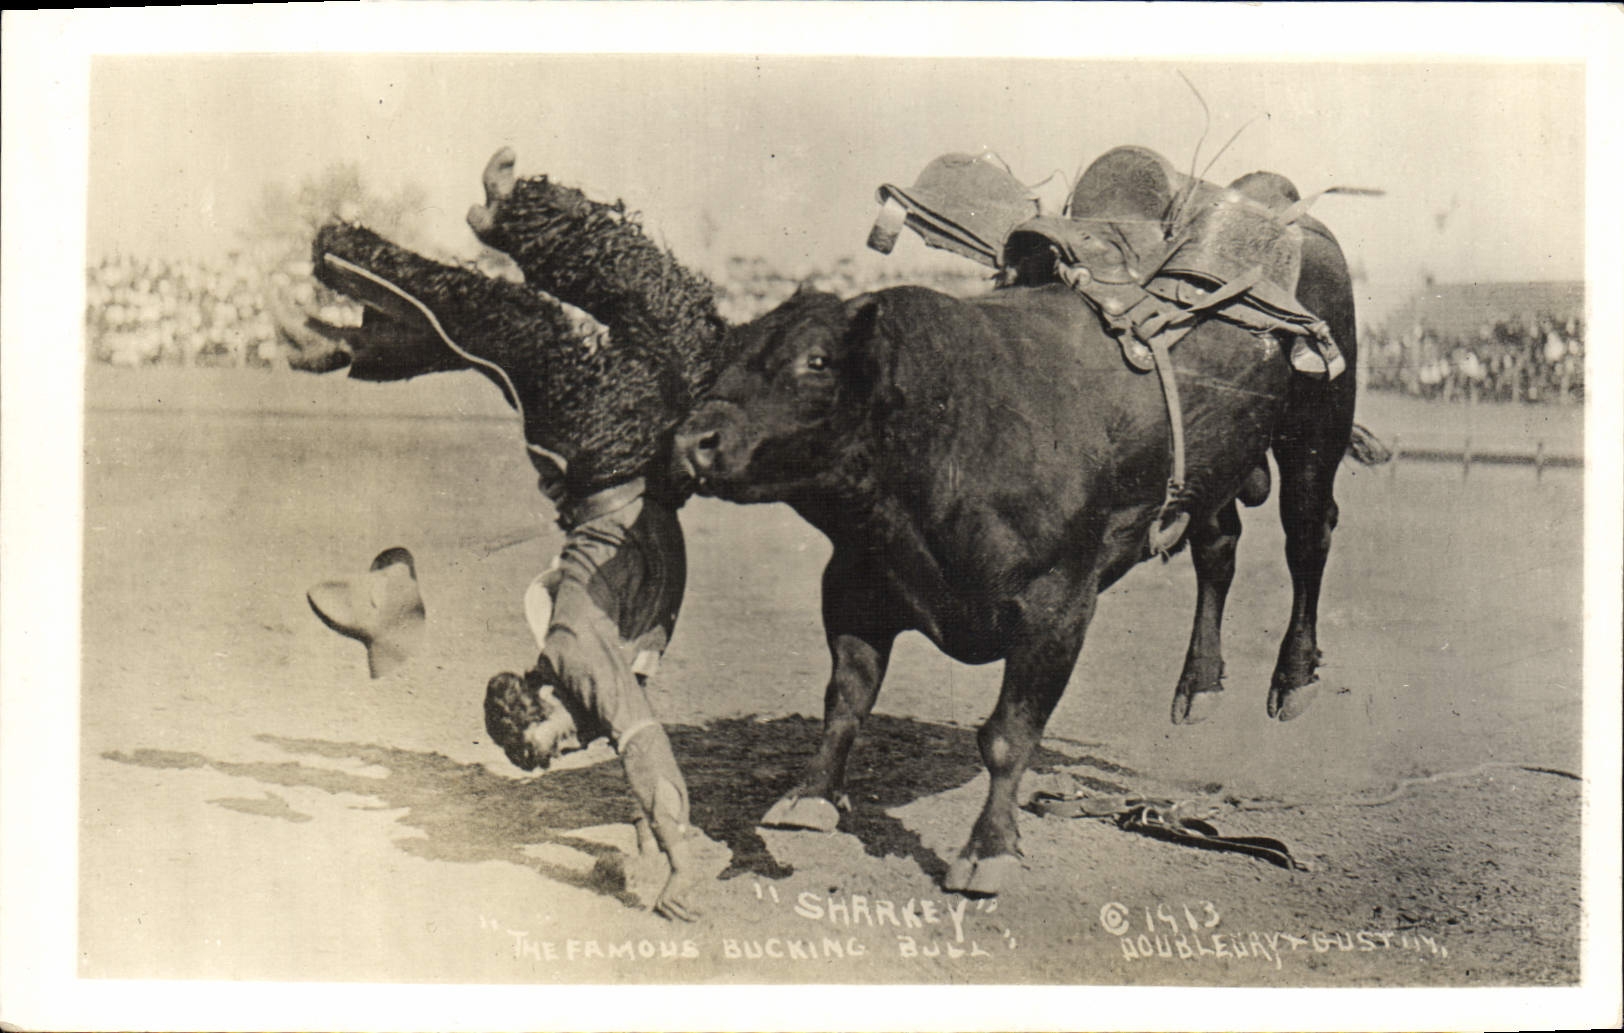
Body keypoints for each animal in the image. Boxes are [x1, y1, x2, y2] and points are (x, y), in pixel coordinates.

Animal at [671, 208, 1378, 895]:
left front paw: (988, 851)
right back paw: (1199, 685)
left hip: (1316, 430)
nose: (692, 439)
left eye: (815, 361)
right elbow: (846, 697)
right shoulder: (853, 580)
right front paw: (811, 796)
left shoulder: (1059, 604)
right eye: (720, 355)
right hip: (1210, 470)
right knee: (1218, 547)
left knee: (1308, 539)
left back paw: (1293, 679)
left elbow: (1009, 736)